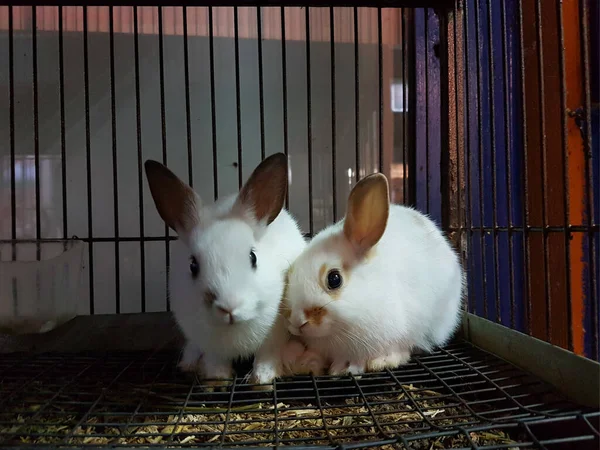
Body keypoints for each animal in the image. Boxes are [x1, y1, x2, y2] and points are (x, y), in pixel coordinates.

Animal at [144, 155, 304, 384]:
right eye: (193, 265)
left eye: (253, 257)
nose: (229, 307)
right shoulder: (209, 345)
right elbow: (215, 360)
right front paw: (217, 378)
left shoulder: (274, 336)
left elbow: (266, 356)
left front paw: (261, 378)